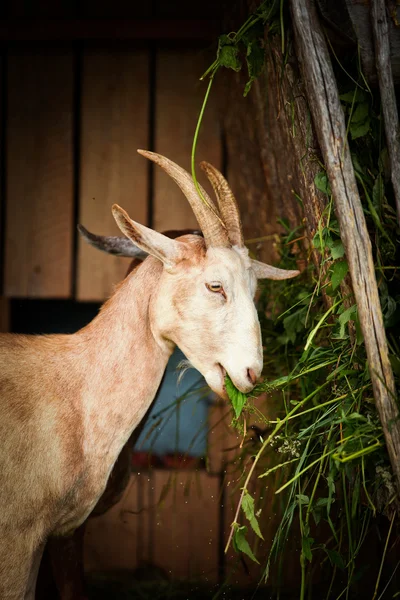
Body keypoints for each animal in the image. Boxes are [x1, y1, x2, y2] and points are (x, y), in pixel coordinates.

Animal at [0, 149, 296, 596]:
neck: (74, 385)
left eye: (254, 289)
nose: (251, 372)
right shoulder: (20, 539)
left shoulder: (58, 535)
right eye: (215, 286)